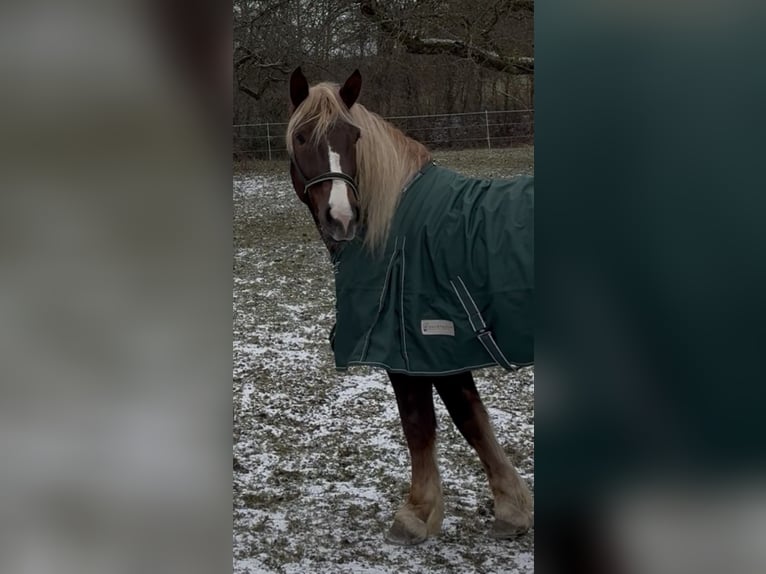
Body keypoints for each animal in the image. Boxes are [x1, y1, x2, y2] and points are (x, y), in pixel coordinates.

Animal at [285, 67, 534, 545]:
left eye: (353, 136)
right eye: (303, 136)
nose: (341, 219)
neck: (394, 224)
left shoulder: (418, 349)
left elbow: (423, 422)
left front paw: (416, 514)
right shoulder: (442, 352)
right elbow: (472, 419)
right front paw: (512, 510)